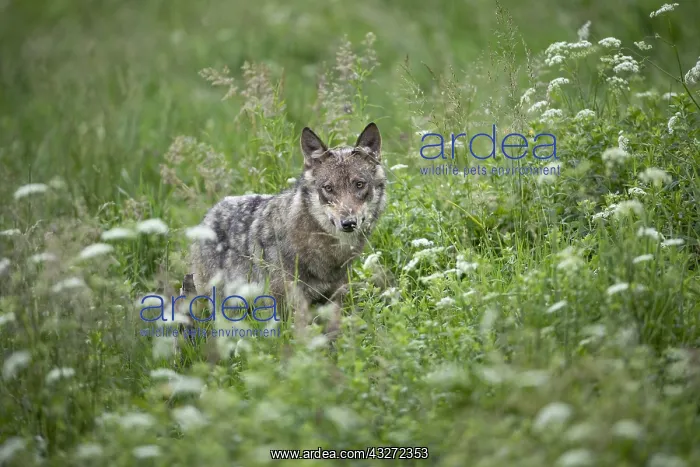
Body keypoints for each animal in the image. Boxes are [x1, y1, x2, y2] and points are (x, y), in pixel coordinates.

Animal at [186, 122, 387, 336]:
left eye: (359, 184)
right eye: (328, 188)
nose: (348, 223)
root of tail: (210, 214)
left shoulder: (333, 298)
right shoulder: (290, 305)